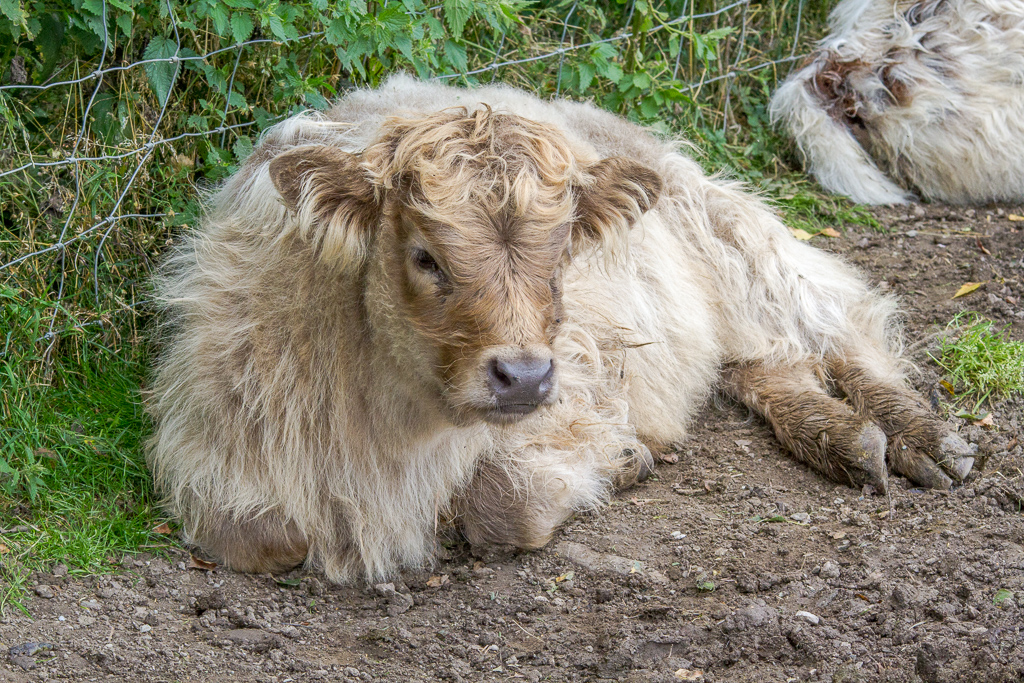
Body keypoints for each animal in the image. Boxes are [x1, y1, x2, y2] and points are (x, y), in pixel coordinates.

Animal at [147, 75, 976, 583]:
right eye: (425, 255)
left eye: (561, 257)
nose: (522, 374)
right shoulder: (219, 441)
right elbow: (261, 535)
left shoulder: (579, 384)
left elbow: (503, 501)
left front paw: (625, 461)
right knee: (766, 366)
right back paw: (846, 439)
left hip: (736, 237)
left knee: (837, 330)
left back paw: (926, 440)